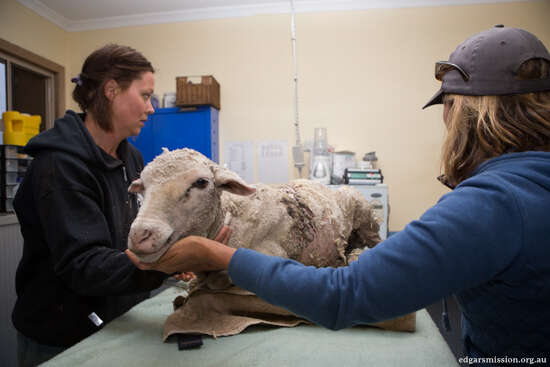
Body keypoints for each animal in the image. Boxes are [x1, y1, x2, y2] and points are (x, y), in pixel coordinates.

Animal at [127, 147, 382, 290]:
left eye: (201, 182)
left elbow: (220, 278)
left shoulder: (274, 252)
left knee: (376, 244)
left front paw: (215, 280)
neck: (230, 219)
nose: (140, 235)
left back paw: (356, 256)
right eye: (143, 187)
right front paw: (194, 282)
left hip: (365, 213)